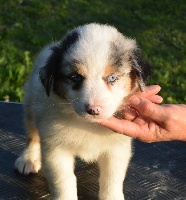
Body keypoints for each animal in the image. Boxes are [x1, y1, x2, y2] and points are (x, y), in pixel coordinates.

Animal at [14, 22, 151, 199]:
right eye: (75, 77)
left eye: (112, 78)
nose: (93, 110)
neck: (87, 124)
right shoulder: (56, 150)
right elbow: (63, 181)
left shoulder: (117, 148)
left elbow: (111, 178)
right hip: (31, 106)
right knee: (33, 135)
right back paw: (28, 159)